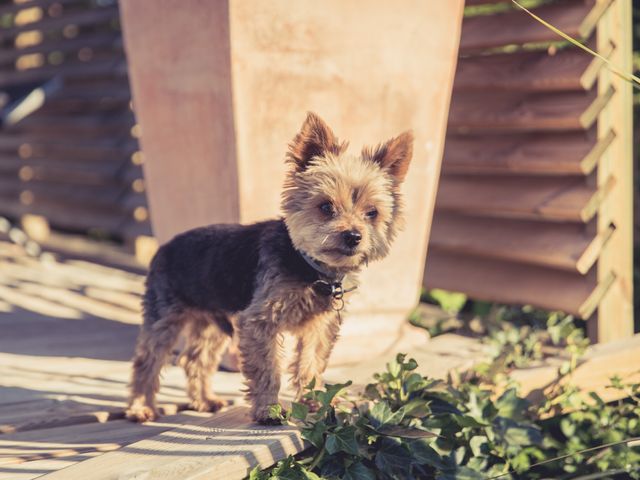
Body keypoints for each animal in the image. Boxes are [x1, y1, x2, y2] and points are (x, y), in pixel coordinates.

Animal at [126, 111, 416, 424]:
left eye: (372, 212)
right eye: (326, 207)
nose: (353, 236)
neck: (310, 269)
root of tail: (163, 247)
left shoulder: (318, 327)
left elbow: (311, 364)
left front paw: (317, 403)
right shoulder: (258, 322)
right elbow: (267, 370)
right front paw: (268, 410)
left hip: (211, 321)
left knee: (196, 360)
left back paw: (204, 400)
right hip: (164, 316)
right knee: (147, 360)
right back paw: (140, 407)